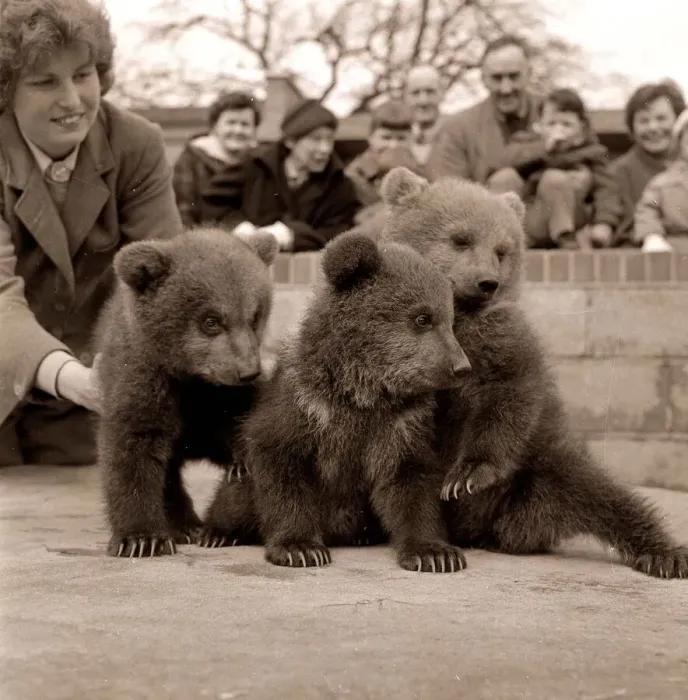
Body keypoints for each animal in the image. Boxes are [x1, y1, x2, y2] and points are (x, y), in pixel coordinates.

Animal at [96, 226, 279, 557]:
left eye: (254, 316)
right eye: (211, 320)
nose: (248, 371)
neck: (191, 377)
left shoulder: (222, 399)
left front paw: (241, 464)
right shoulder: (144, 382)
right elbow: (130, 451)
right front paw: (141, 538)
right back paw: (183, 524)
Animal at [201, 230, 472, 571]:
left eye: (450, 319)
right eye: (422, 318)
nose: (461, 366)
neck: (364, 390)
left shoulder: (402, 424)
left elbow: (412, 480)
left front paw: (435, 553)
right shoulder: (306, 405)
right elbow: (281, 467)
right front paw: (300, 547)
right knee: (235, 498)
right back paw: (215, 533)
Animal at [379, 166, 688, 579]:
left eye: (502, 249)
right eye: (461, 239)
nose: (487, 283)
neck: (458, 317)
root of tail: (495, 527)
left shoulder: (500, 341)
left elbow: (509, 395)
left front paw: (466, 476)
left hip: (539, 471)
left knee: (601, 493)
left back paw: (665, 553)